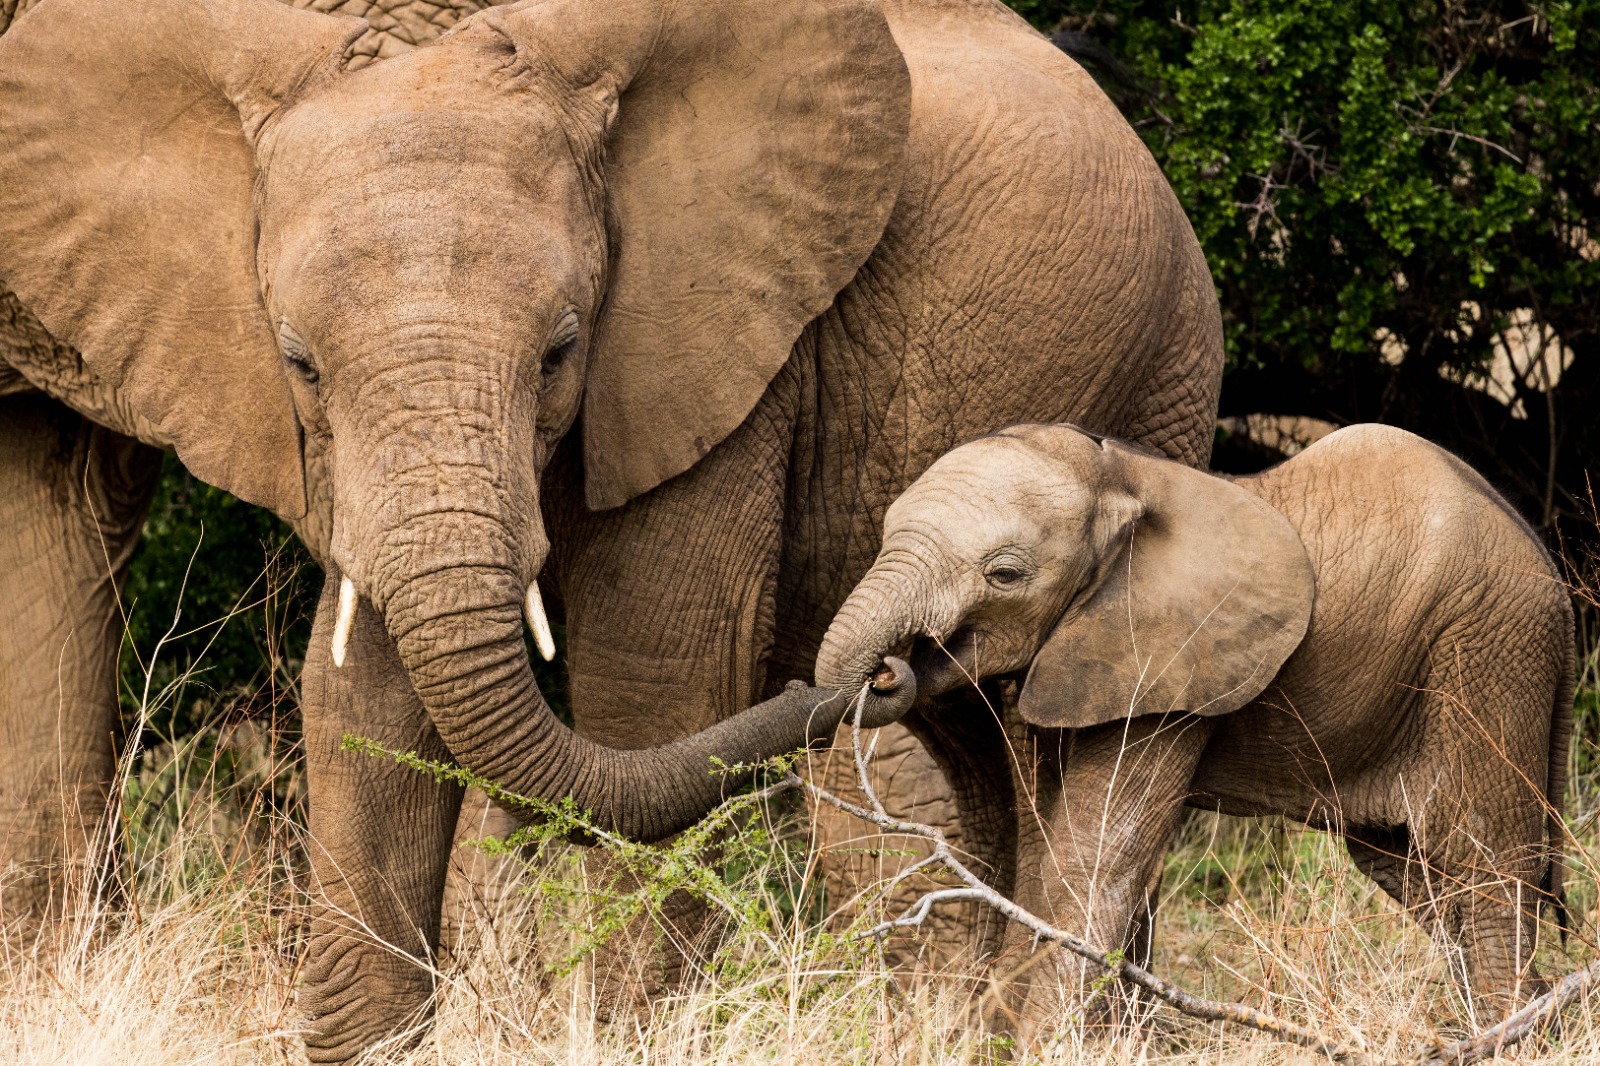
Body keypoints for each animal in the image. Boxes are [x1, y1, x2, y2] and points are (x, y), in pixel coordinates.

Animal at [0, 0, 1224, 1056]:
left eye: (562, 348)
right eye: (298, 363)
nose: (860, 675)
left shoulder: (721, 350)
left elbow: (655, 688)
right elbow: (363, 699)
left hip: (1165, 377)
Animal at [816, 422, 1573, 1032]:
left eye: (1004, 574)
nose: (892, 668)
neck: (1121, 477)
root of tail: (1555, 577)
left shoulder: (1171, 662)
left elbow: (1095, 851)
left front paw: (1036, 1044)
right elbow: (1041, 840)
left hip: (1487, 656)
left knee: (1481, 860)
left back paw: (1508, 1033)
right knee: (1412, 869)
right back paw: (1532, 1018)